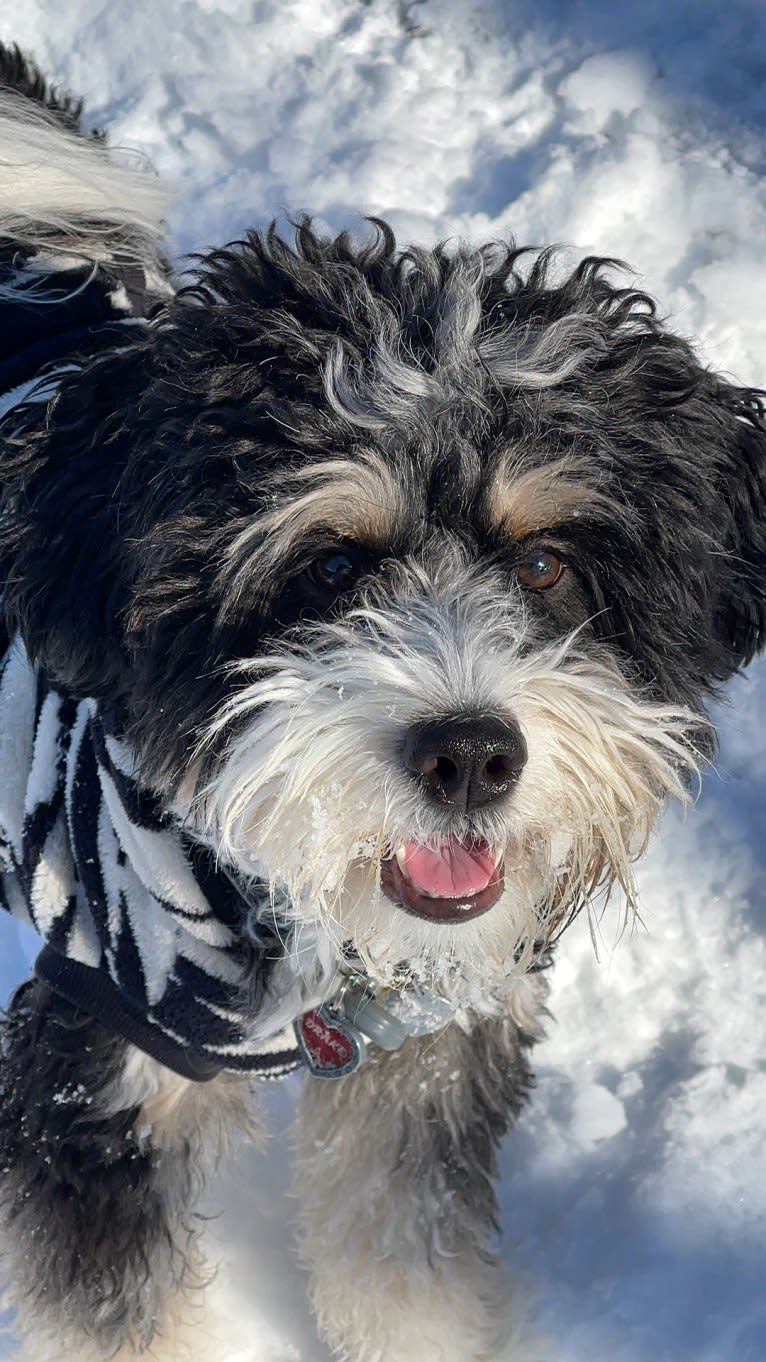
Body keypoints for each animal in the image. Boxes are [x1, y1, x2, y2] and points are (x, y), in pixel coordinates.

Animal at [0, 39, 757, 1362]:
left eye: (543, 564)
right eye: (327, 569)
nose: (469, 755)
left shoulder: (431, 1050)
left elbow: (409, 1262)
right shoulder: (99, 1063)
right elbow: (116, 1312)